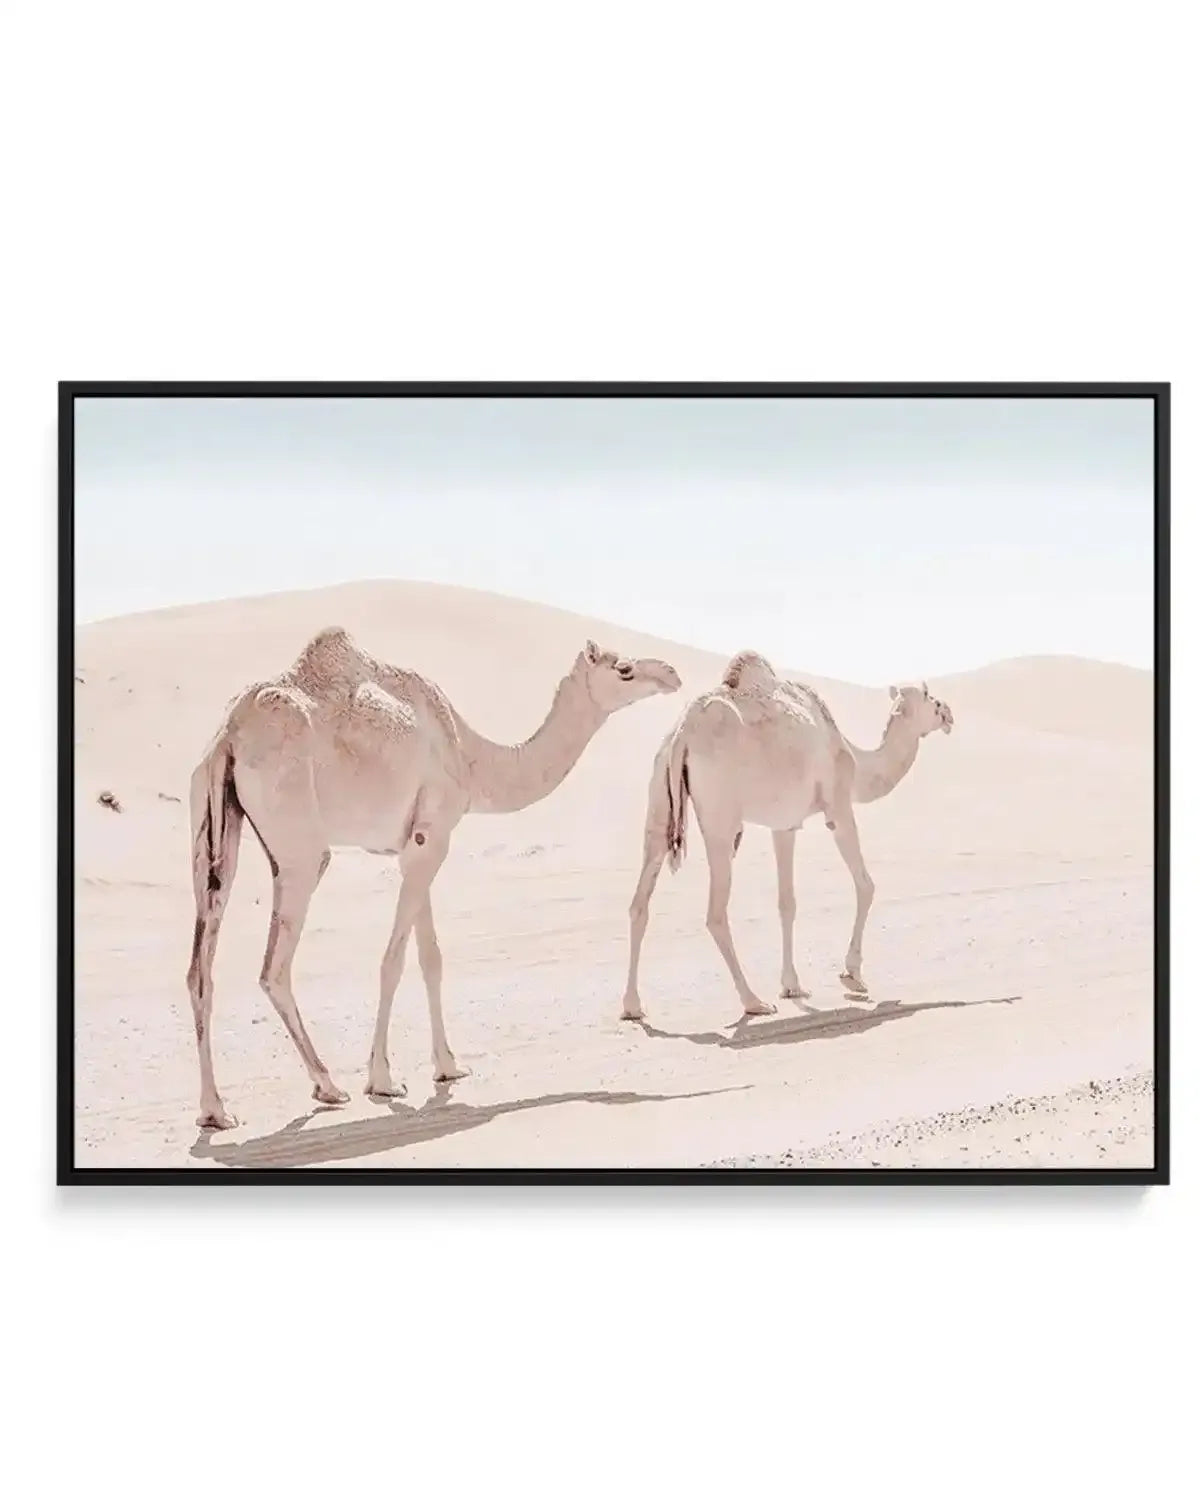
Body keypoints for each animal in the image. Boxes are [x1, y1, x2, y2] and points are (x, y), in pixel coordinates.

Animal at [186, 626, 681, 1129]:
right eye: (624, 669)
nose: (672, 674)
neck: (470, 757)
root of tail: (229, 736)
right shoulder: (433, 836)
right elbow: (394, 960)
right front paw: (382, 1079)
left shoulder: (417, 842)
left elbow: (430, 958)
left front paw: (448, 1066)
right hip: (300, 846)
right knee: (274, 968)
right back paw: (327, 1085)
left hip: (210, 828)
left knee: (199, 969)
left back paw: (215, 1110)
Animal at [621, 651, 953, 1020]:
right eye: (931, 698)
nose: (949, 714)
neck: (854, 758)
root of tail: (683, 733)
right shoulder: (838, 807)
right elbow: (866, 885)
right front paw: (852, 974)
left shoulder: (785, 825)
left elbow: (787, 902)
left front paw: (792, 985)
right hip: (721, 818)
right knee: (715, 913)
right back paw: (753, 1001)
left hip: (659, 797)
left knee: (640, 901)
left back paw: (632, 1006)